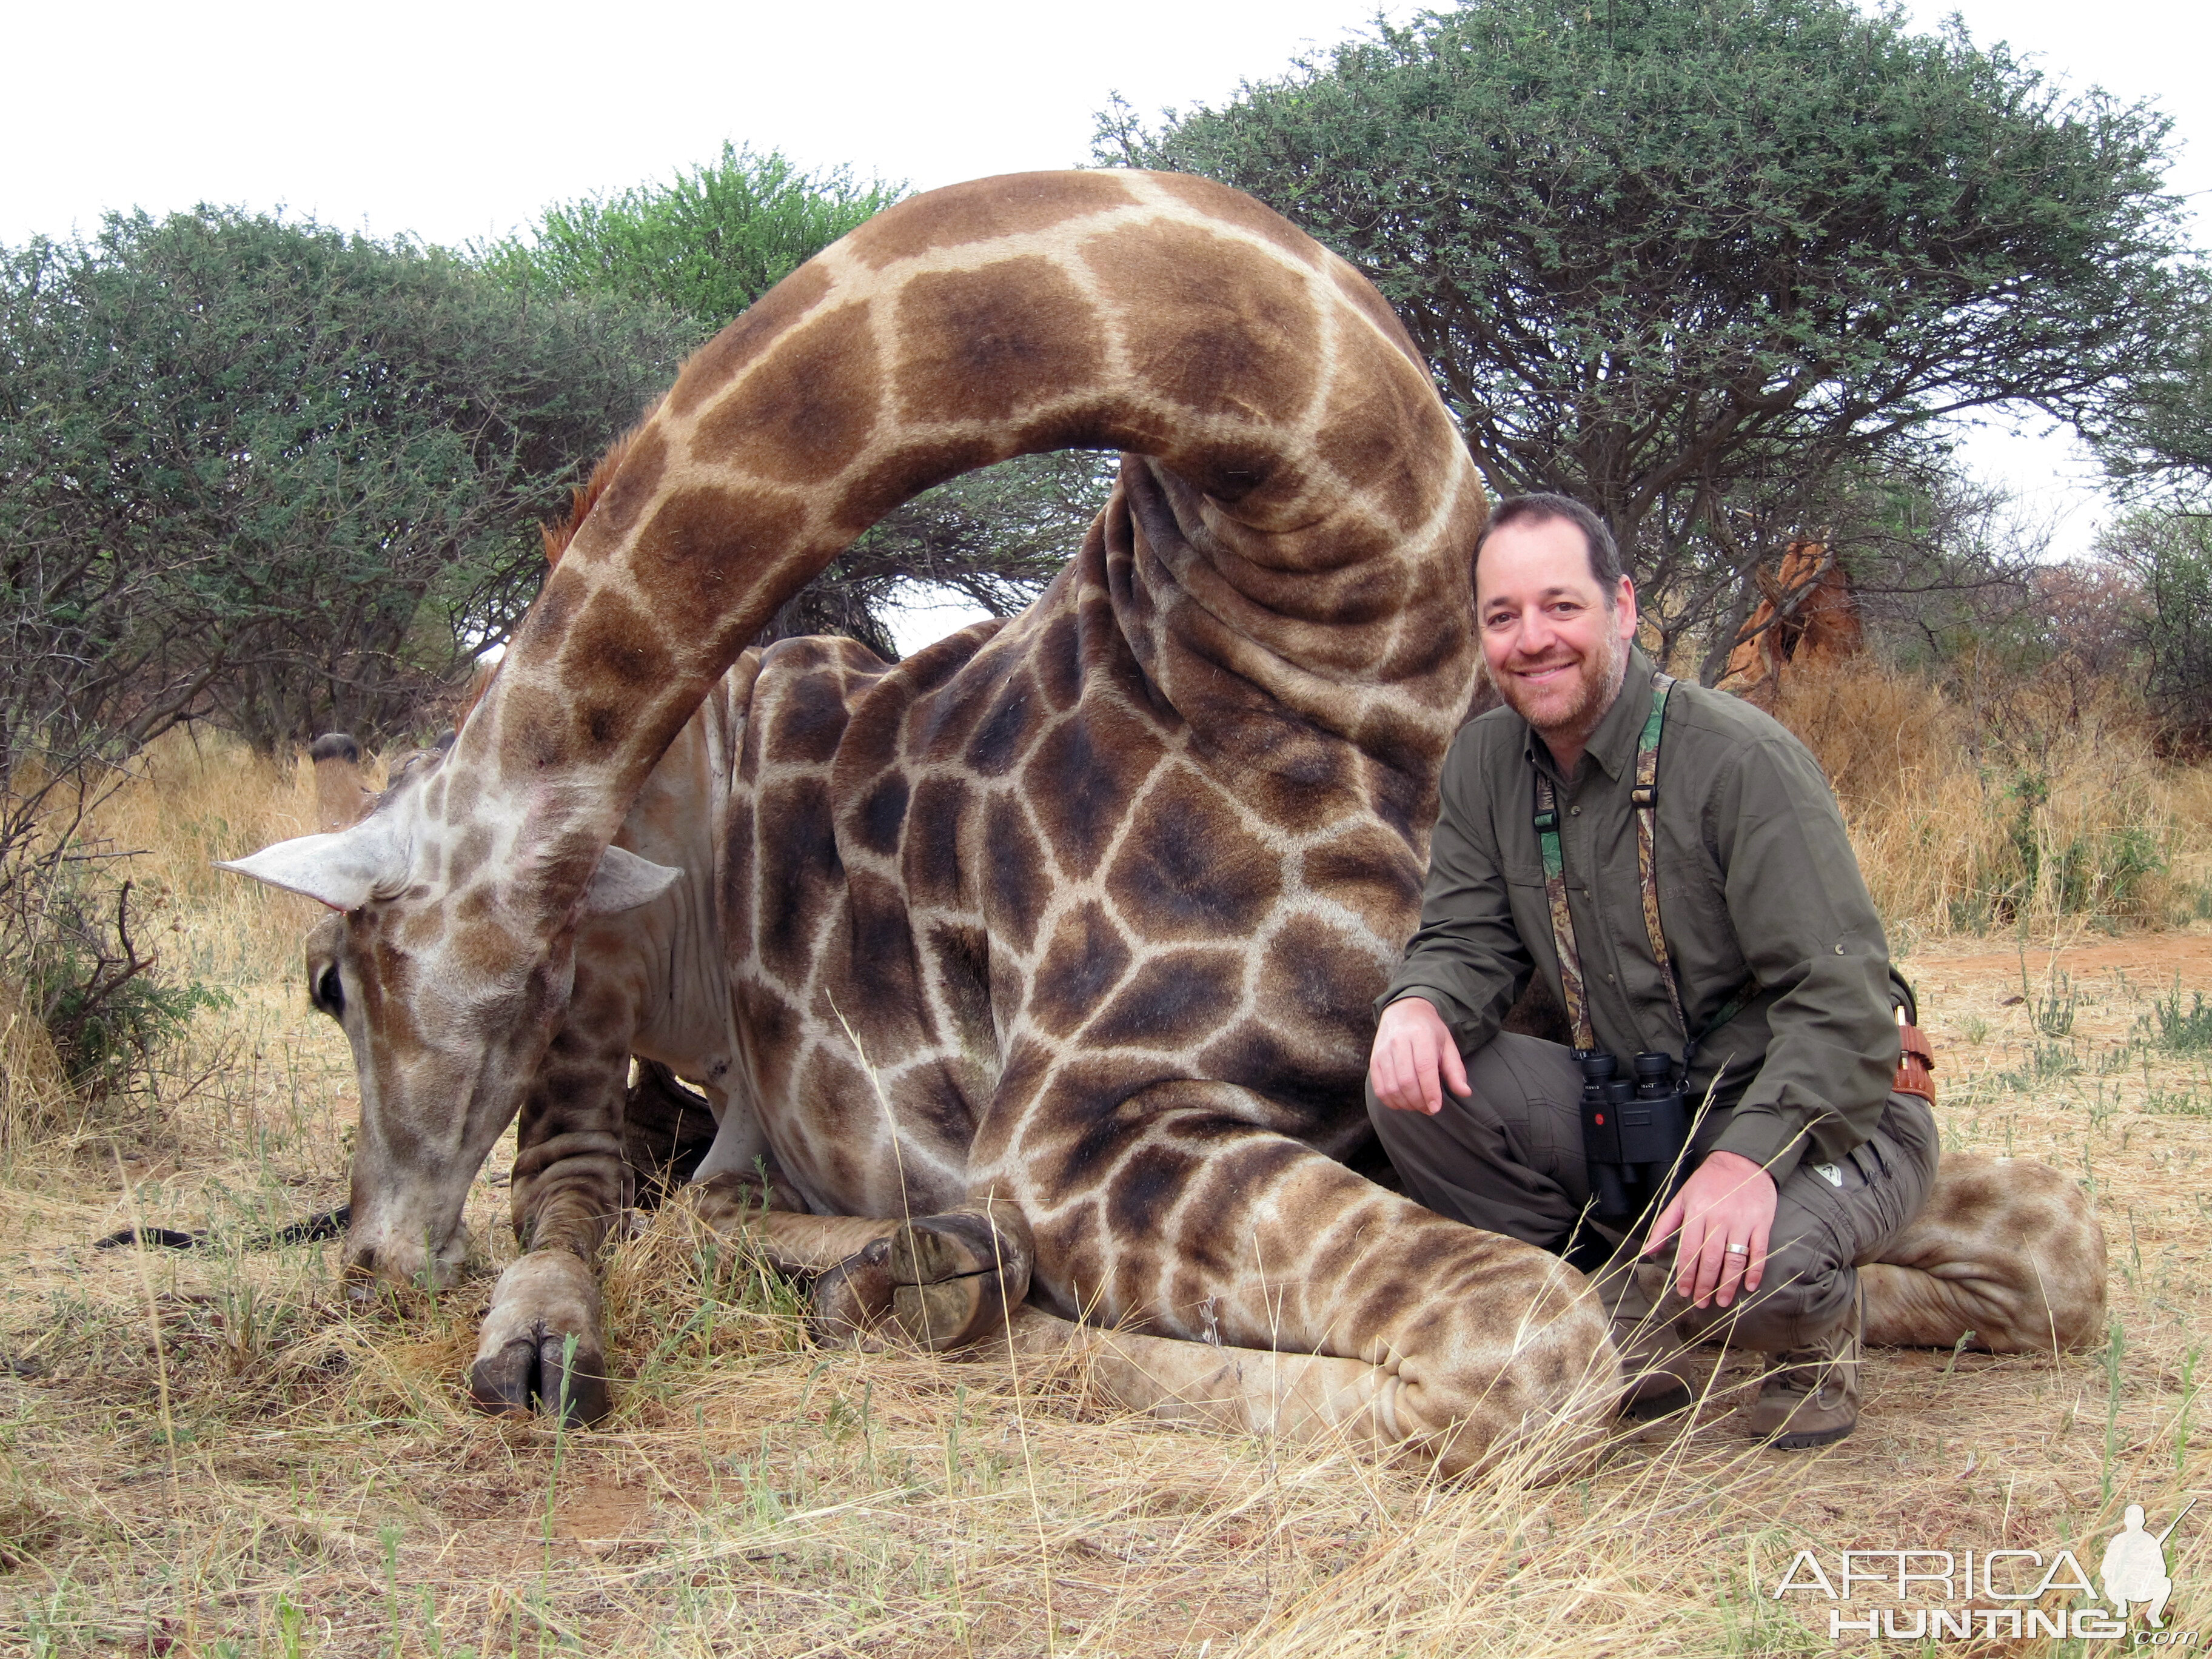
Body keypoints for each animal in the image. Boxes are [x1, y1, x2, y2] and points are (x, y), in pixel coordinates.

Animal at [229, 176, 2105, 1477]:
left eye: (330, 983)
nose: (370, 1261)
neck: (1340, 608)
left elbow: (2057, 1239)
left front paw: (1774, 1324)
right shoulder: (1081, 1131)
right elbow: (1532, 1350)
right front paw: (972, 1312)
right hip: (626, 951)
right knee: (585, 1185)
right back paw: (655, 1319)